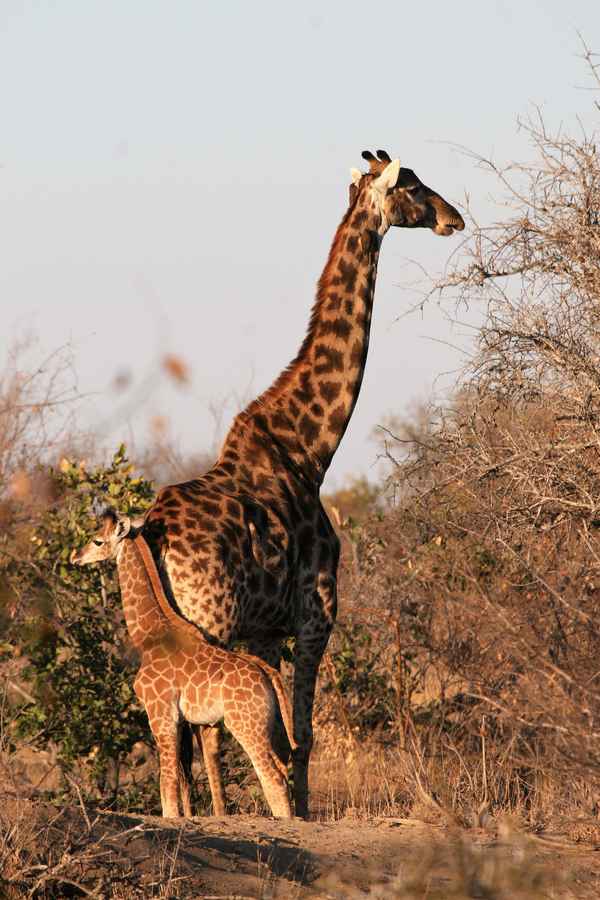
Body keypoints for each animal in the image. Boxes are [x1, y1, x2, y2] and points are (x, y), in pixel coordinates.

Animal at [70, 510, 296, 819]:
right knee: (283, 770)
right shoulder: (178, 719)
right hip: (265, 725)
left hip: (245, 724)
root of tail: (270, 674)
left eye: (97, 540)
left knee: (272, 777)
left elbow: (167, 784)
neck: (147, 635)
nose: (75, 556)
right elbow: (178, 779)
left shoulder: (160, 713)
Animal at [143, 149, 465, 817]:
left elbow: (274, 728)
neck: (311, 449)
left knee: (182, 732)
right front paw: (301, 812)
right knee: (199, 729)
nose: (455, 218)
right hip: (209, 617)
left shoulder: (266, 630)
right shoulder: (317, 614)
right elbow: (303, 731)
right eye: (414, 186)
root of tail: (155, 532)